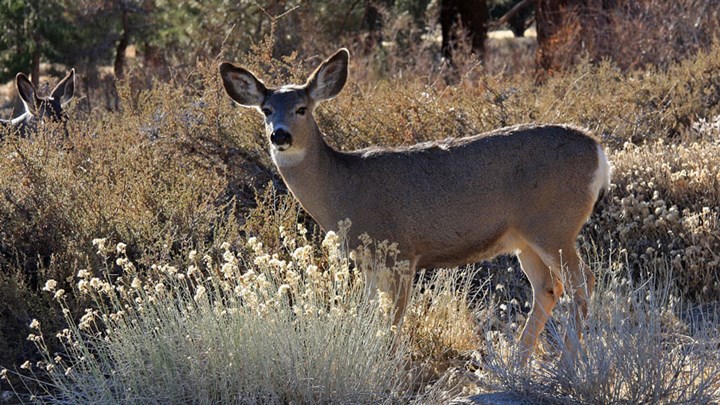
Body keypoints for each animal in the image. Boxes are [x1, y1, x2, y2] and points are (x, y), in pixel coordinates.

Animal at [218, 49, 608, 362]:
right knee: (548, 288)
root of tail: (599, 152)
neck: (343, 187)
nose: (279, 135)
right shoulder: (368, 259)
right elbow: (368, 314)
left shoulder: (402, 251)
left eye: (302, 108)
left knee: (582, 282)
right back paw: (518, 365)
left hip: (554, 225)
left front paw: (387, 368)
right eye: (266, 110)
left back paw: (569, 360)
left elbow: (393, 320)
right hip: (524, 239)